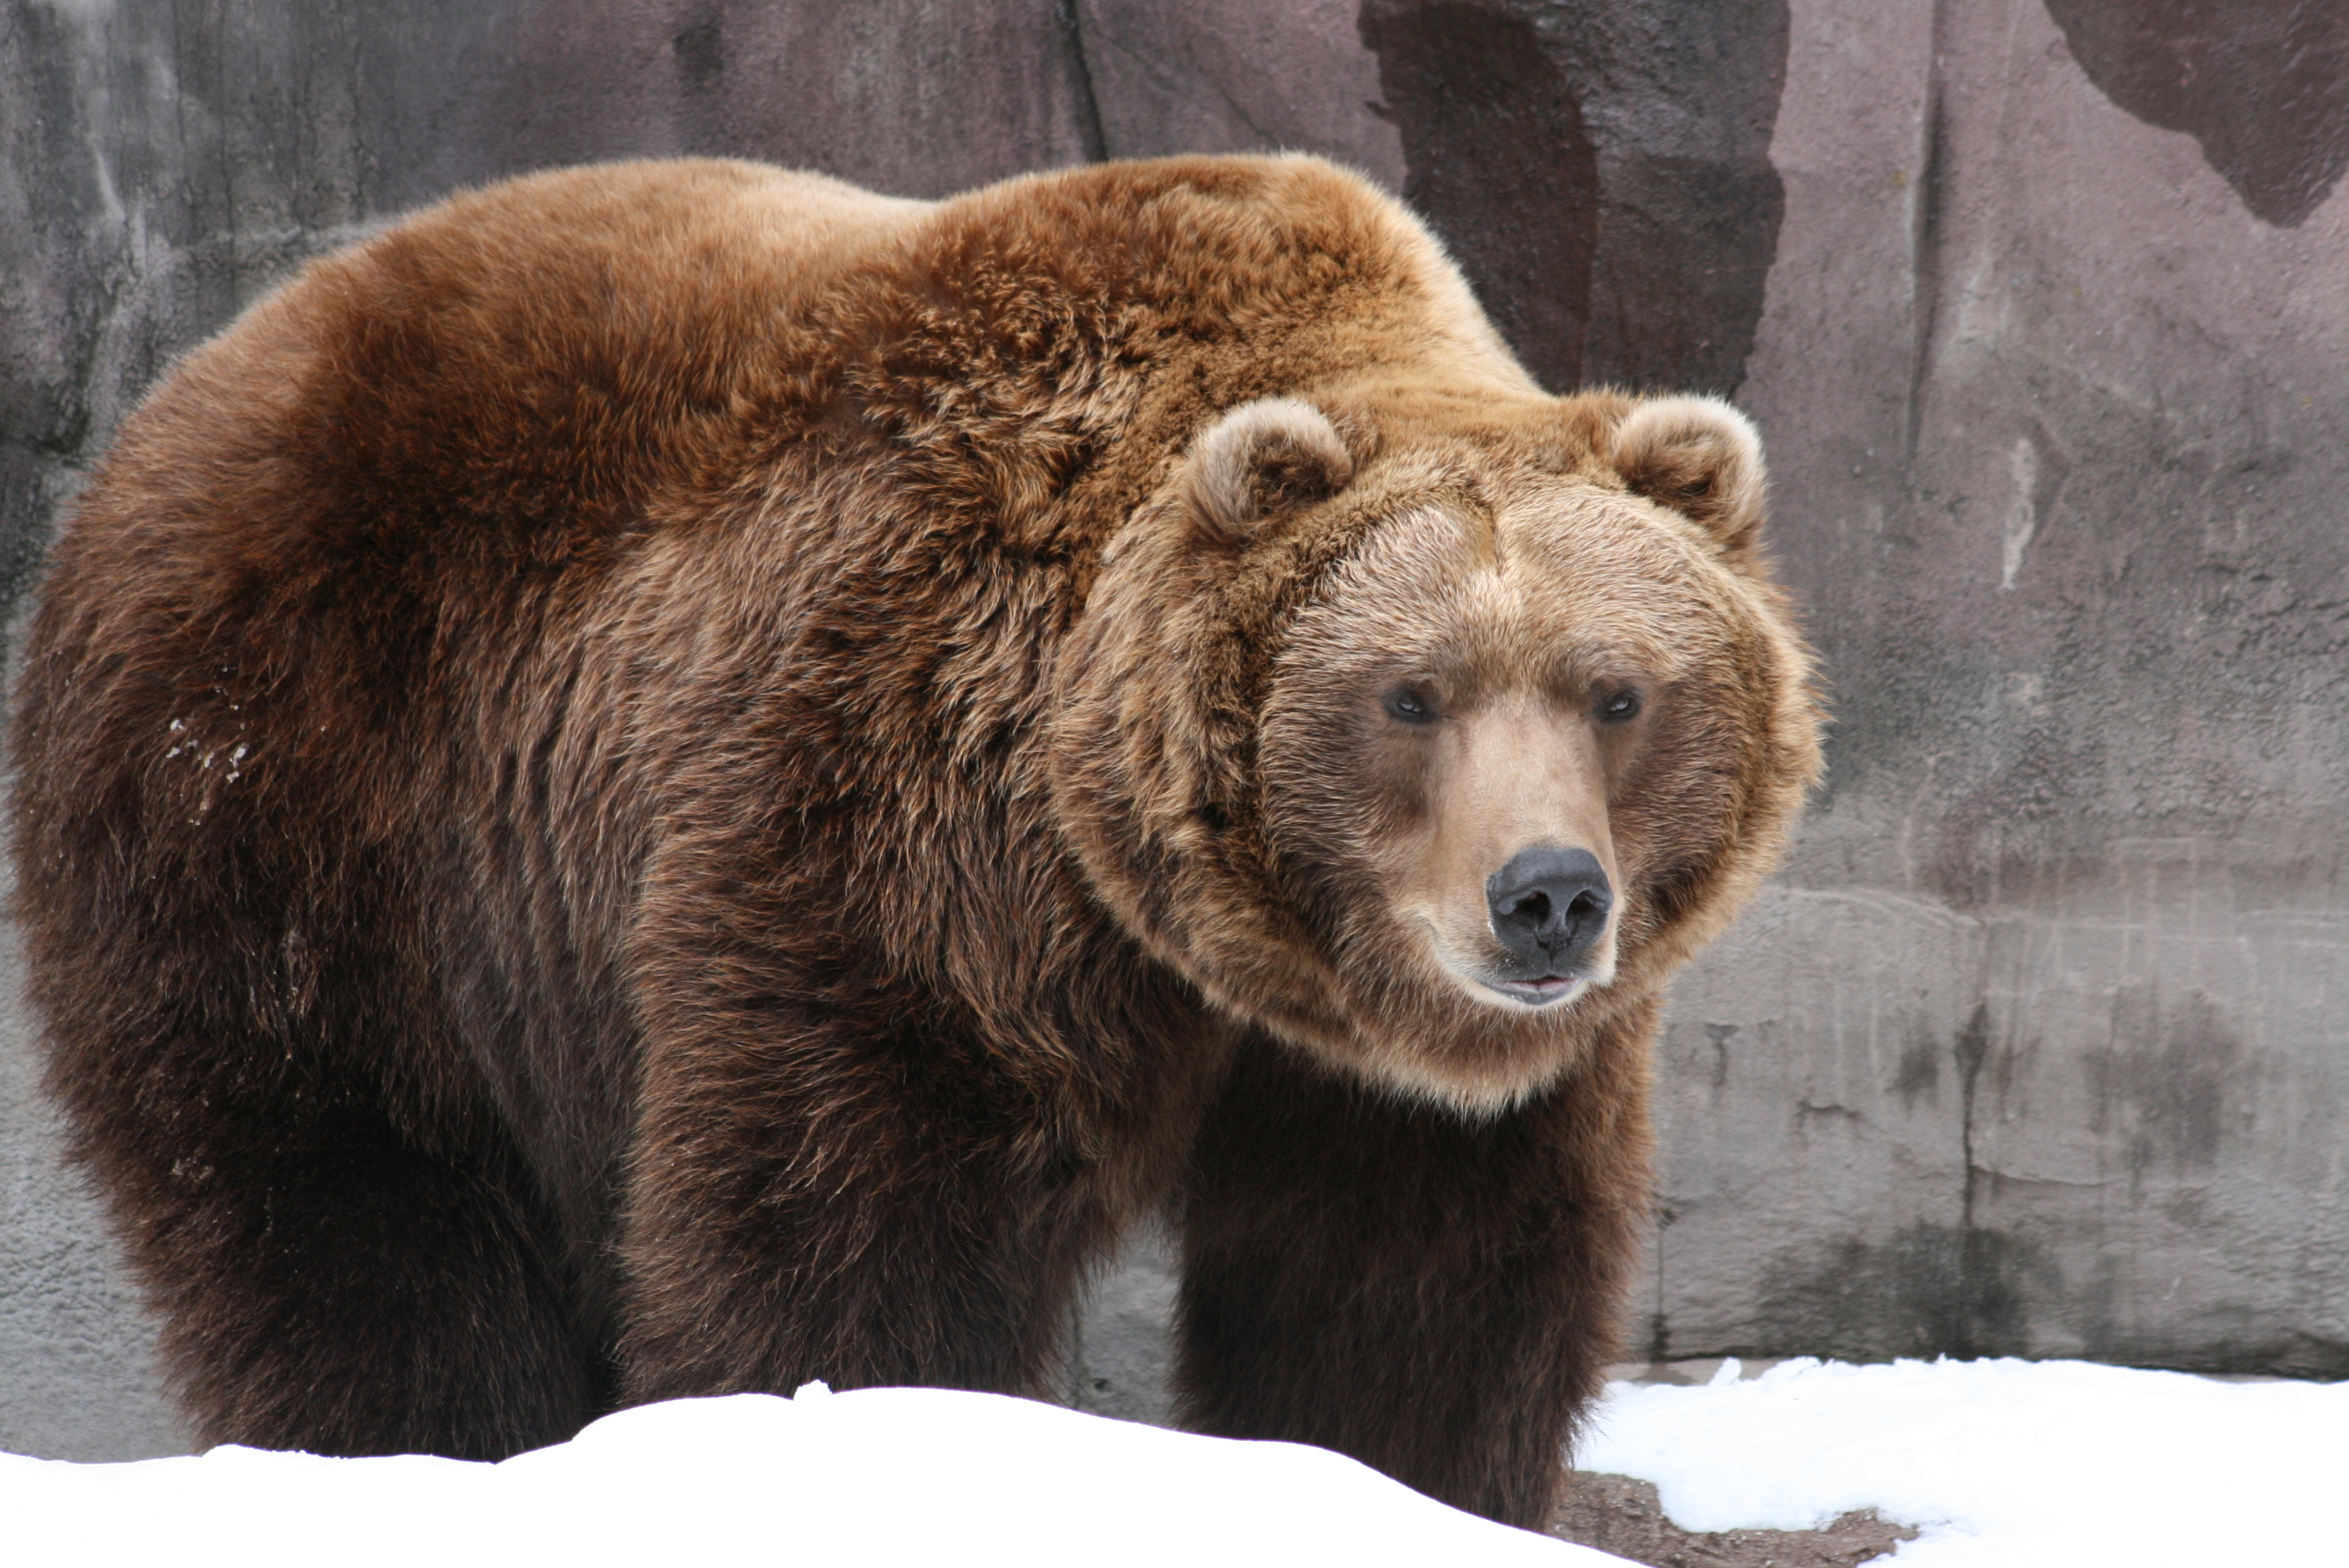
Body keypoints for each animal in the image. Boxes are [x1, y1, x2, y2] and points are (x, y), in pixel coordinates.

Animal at [9, 153, 1821, 1528]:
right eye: (1410, 693)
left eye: (1617, 690)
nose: (1546, 900)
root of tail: (187, 387)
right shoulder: (905, 813)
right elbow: (848, 1217)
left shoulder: (1381, 1079)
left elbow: (1410, 1291)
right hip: (298, 801)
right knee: (354, 1207)